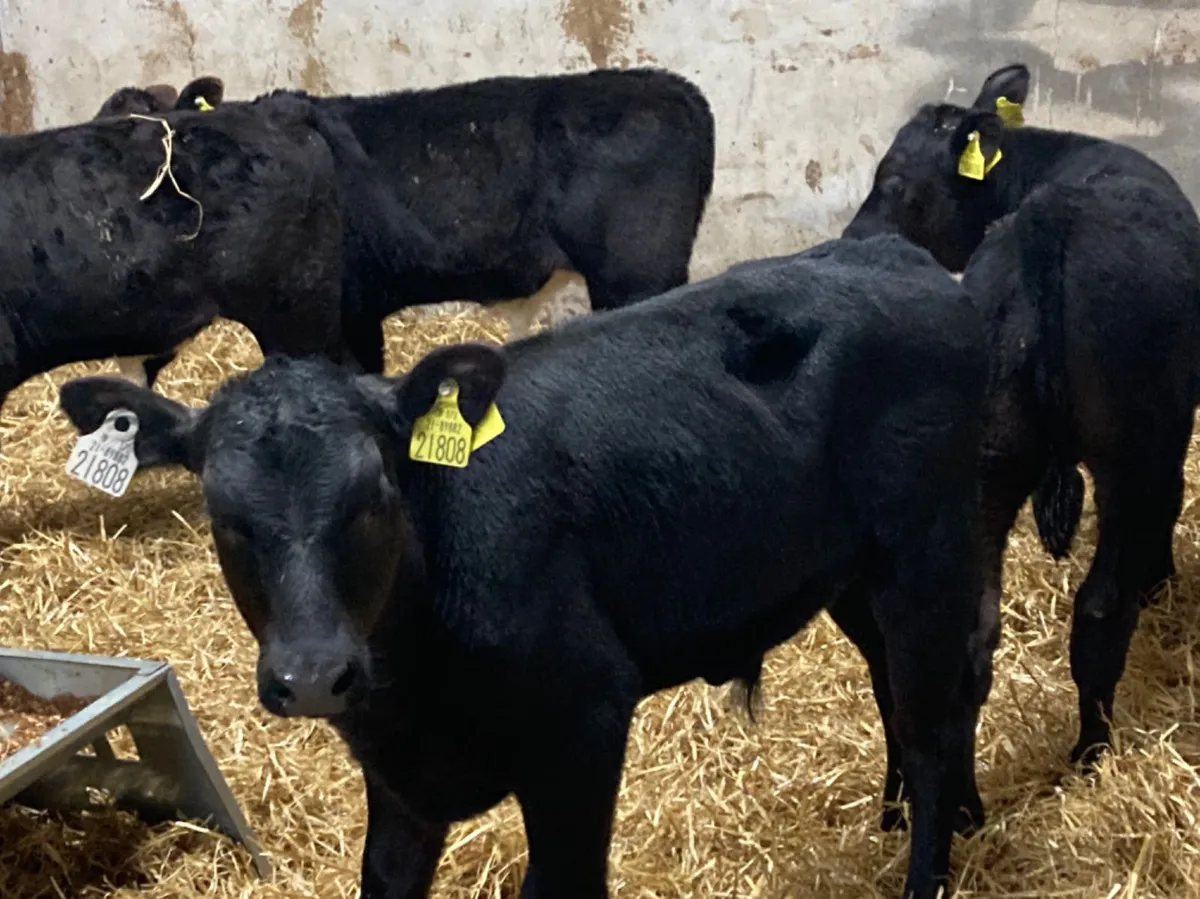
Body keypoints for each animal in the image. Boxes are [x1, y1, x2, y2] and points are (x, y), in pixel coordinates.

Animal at [58, 233, 993, 899]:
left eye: (375, 495)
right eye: (224, 518)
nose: (316, 674)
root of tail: (898, 256)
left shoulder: (584, 723)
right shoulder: (400, 782)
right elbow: (383, 879)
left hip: (930, 553)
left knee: (933, 720)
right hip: (857, 575)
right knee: (906, 694)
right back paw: (919, 819)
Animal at [844, 62, 1200, 768]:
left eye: (893, 182)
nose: (853, 237)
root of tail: (1046, 224)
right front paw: (1160, 582)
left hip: (987, 465)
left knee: (970, 644)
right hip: (1134, 451)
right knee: (1100, 609)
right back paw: (1091, 753)